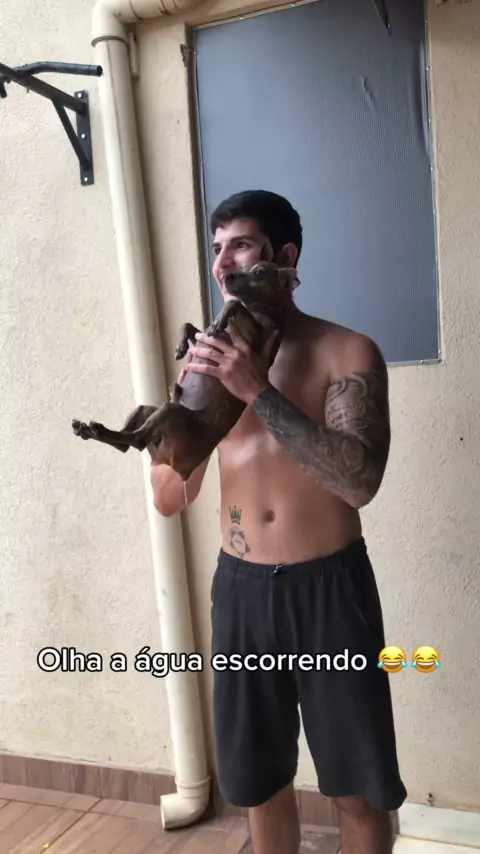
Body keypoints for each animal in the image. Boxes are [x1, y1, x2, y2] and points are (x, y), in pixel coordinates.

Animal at [71, 261, 299, 481]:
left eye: (258, 272)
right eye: (242, 267)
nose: (226, 275)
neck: (261, 307)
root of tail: (180, 468)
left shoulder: (254, 339)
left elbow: (233, 303)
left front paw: (221, 318)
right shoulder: (203, 340)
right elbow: (189, 326)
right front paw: (181, 346)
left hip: (170, 411)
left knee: (136, 440)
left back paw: (97, 431)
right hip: (148, 413)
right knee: (127, 442)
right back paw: (89, 430)